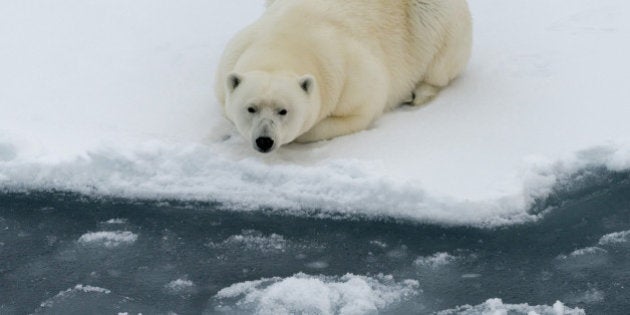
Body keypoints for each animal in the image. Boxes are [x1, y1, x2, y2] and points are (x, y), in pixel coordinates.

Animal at [217, 0, 470, 153]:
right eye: (251, 108)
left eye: (283, 111)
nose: (264, 140)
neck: (285, 41)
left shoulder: (350, 74)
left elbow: (358, 113)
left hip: (432, 19)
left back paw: (418, 93)